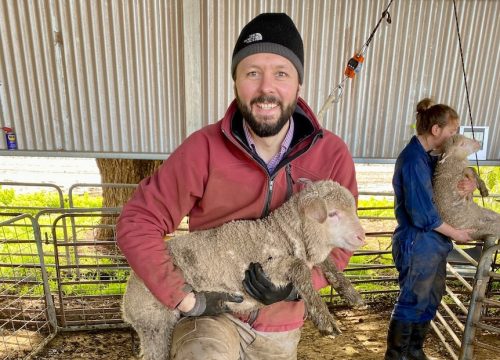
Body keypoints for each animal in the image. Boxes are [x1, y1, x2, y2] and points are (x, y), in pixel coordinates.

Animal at [122, 180, 368, 360]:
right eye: (333, 214)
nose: (362, 236)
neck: (282, 234)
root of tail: (125, 302)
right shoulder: (267, 267)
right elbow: (300, 269)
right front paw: (326, 320)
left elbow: (329, 264)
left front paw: (353, 295)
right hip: (155, 324)